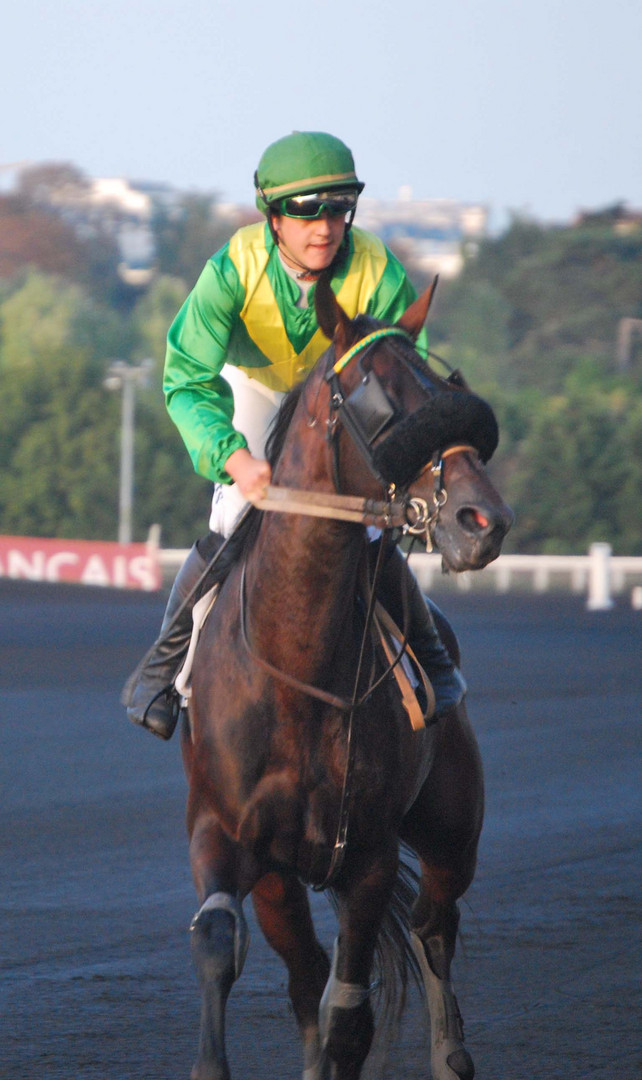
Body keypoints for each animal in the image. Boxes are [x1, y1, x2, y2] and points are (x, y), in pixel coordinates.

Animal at [178, 272, 510, 1080]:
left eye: (447, 387)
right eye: (380, 401)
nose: (484, 519)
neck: (297, 669)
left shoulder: (367, 855)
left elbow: (350, 1014)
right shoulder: (226, 833)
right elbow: (223, 945)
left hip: (452, 824)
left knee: (432, 923)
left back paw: (451, 1055)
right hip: (283, 880)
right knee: (311, 972)